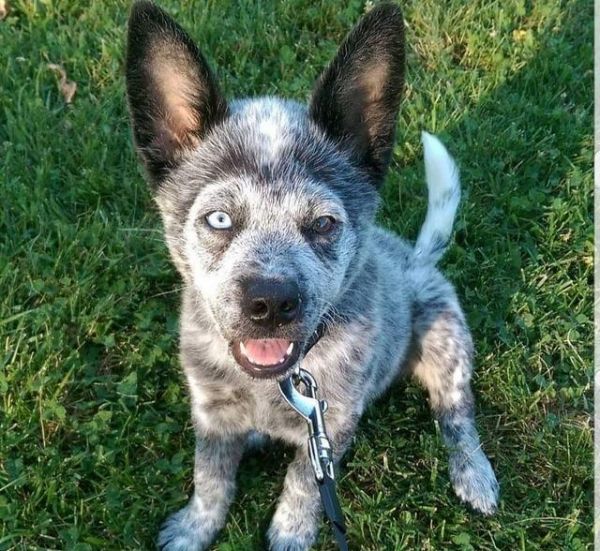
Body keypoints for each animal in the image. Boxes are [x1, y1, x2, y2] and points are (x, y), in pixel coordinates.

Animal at [125, 2, 499, 549]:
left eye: (323, 223)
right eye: (219, 219)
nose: (270, 303)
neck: (274, 387)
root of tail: (417, 258)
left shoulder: (330, 422)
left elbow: (303, 484)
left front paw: (291, 534)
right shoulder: (211, 412)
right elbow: (209, 476)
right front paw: (195, 528)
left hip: (447, 342)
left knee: (456, 414)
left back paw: (474, 473)